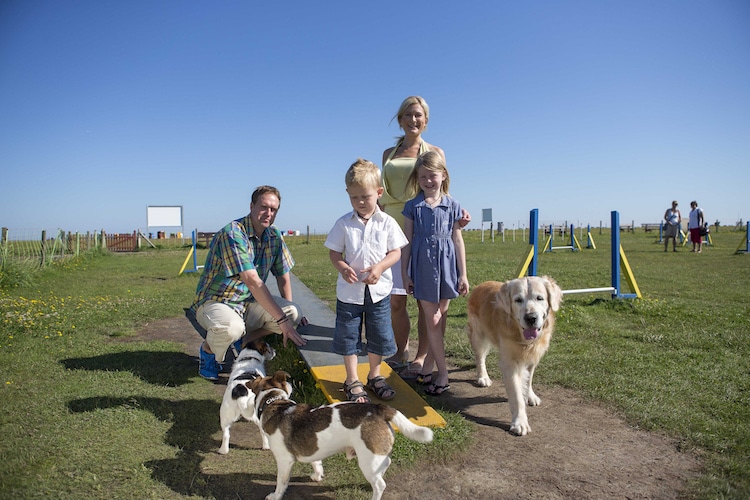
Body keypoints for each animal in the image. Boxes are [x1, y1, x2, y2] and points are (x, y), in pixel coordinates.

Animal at [251, 370, 434, 498]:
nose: (290, 383)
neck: (274, 402)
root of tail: (378, 408)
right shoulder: (312, 450)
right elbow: (316, 462)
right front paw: (317, 475)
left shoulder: (284, 460)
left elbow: (281, 482)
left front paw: (275, 496)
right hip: (376, 457)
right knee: (384, 466)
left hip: (367, 460)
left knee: (380, 485)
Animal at [464, 276, 564, 436]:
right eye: (518, 300)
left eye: (539, 298)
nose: (531, 318)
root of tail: (481, 285)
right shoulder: (510, 363)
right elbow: (516, 396)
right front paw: (520, 422)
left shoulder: (532, 358)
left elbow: (528, 380)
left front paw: (530, 395)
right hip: (479, 335)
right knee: (480, 357)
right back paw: (483, 377)